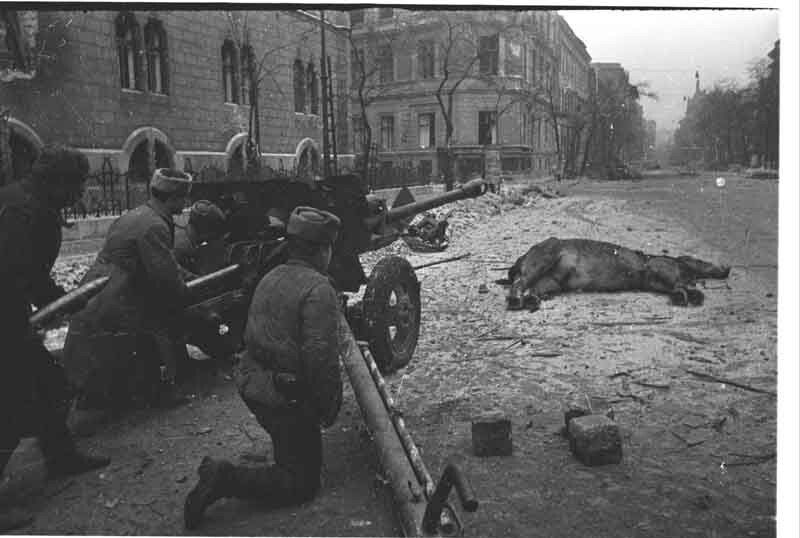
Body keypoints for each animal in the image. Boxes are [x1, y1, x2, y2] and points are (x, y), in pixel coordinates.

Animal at [500, 236, 732, 310]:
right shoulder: (660, 270)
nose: (727, 268)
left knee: (530, 289)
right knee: (519, 283)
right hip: (542, 261)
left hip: (551, 280)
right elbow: (681, 285)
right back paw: (515, 299)